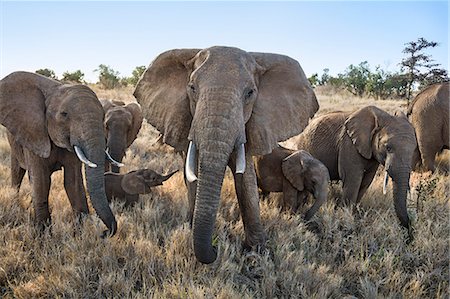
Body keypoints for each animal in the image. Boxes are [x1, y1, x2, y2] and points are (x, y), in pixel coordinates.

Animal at [0, 72, 118, 237]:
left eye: (103, 117)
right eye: (64, 114)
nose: (104, 232)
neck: (56, 88)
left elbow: (73, 182)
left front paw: (78, 236)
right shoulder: (35, 134)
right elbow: (41, 181)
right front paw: (43, 236)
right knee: (17, 173)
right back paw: (15, 205)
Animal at [134, 45, 320, 264]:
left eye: (250, 93)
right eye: (192, 88)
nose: (216, 248)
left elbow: (245, 180)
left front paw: (255, 252)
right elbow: (195, 173)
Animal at [294, 105, 416, 239]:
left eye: (414, 149)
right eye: (388, 148)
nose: (409, 235)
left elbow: (366, 182)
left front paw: (354, 215)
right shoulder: (349, 144)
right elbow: (353, 180)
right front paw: (347, 222)